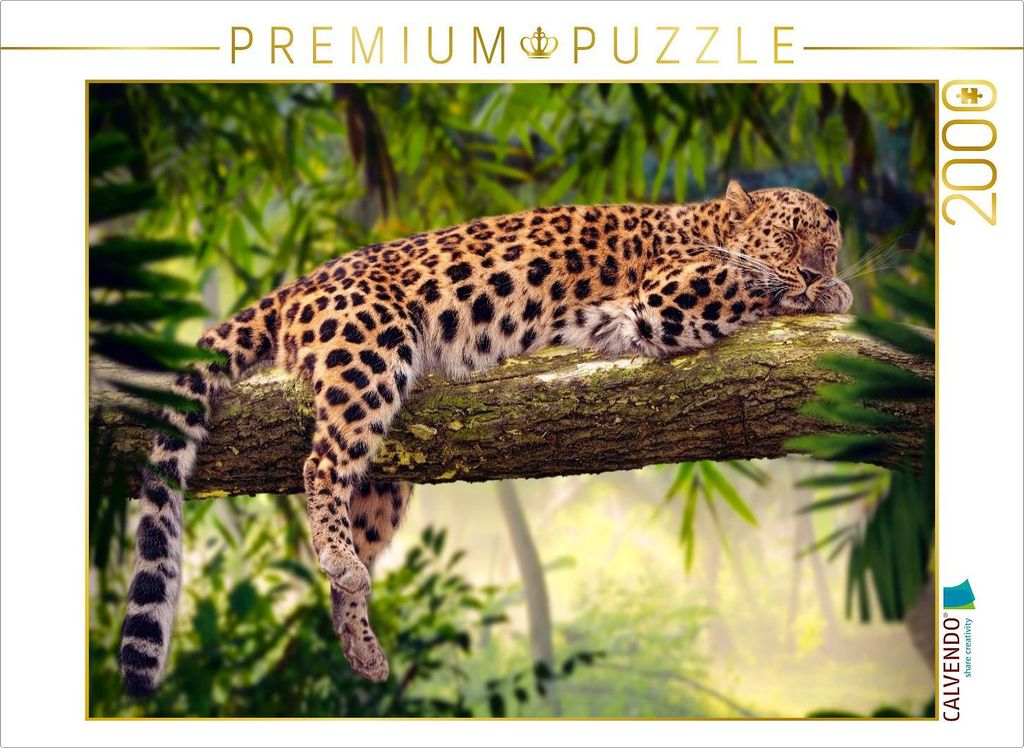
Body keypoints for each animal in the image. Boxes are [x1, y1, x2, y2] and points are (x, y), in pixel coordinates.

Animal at [118, 180, 853, 696]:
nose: (820, 270)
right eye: (789, 236)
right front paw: (818, 291)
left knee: (355, 505)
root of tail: (301, 283)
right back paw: (335, 557)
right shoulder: (671, 295)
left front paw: (834, 289)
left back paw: (360, 639)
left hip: (387, 471)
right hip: (369, 354)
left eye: (831, 243)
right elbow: (749, 277)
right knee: (320, 462)